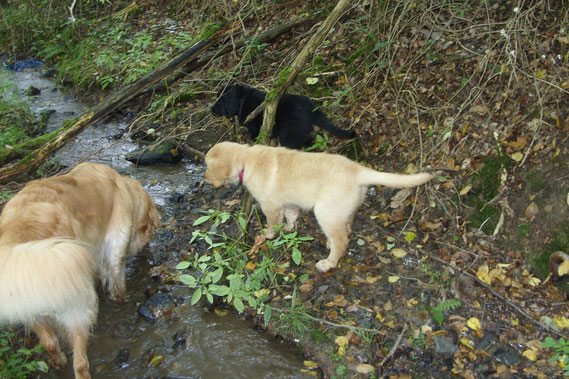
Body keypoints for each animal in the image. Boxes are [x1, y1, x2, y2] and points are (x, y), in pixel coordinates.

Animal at [0, 163, 160, 379]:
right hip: (78, 309)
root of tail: (19, 235)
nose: (147, 245)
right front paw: (121, 298)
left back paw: (58, 361)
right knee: (81, 362)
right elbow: (116, 279)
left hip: (33, 311)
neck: (125, 188)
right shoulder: (115, 246)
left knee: (50, 343)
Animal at [204, 142, 430, 274]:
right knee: (346, 229)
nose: (204, 178)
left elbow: (272, 223)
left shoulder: (270, 205)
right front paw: (289, 229)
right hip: (341, 210)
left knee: (342, 240)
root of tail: (358, 170)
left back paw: (328, 263)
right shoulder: (287, 201)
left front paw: (268, 235)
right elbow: (291, 215)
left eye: (206, 166)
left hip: (325, 211)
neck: (246, 159)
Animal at [213, 84, 356, 149]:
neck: (243, 99)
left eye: (220, 101)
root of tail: (310, 108)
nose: (211, 109)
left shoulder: (258, 132)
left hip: (288, 136)